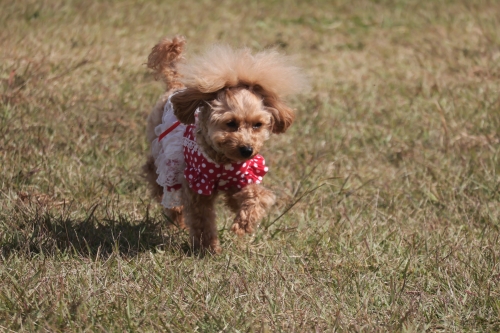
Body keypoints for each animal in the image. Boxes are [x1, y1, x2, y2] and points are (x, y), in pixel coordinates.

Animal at [141, 35, 304, 252]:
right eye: (231, 123)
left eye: (257, 125)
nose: (247, 150)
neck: (222, 161)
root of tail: (174, 86)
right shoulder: (197, 186)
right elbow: (202, 221)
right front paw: (208, 250)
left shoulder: (242, 178)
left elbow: (258, 196)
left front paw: (244, 224)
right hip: (162, 156)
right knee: (159, 181)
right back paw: (175, 218)